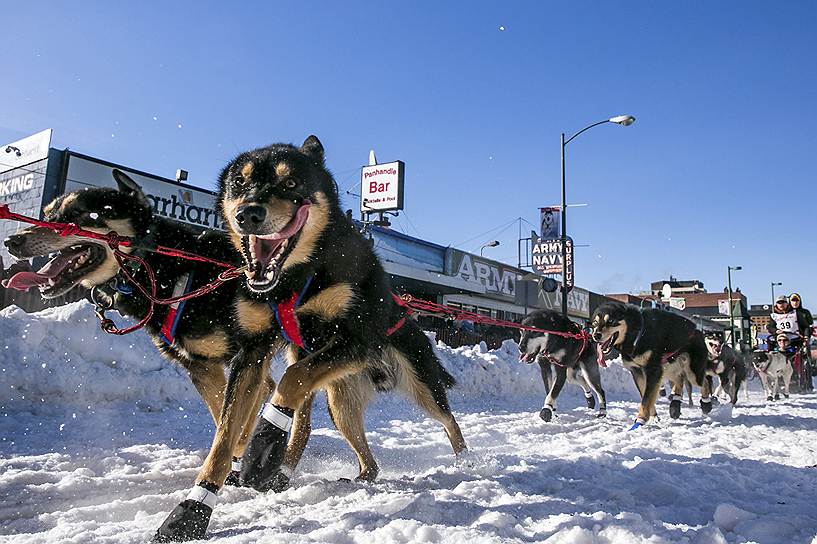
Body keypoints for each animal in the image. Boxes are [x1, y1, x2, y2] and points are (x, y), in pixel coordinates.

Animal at [220, 137, 468, 498]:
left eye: (291, 183)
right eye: (239, 182)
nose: (248, 214)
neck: (299, 276)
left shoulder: (357, 339)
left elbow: (292, 376)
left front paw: (263, 444)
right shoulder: (253, 352)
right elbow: (226, 433)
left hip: (421, 384)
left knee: (449, 420)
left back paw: (468, 462)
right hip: (340, 402)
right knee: (352, 451)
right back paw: (339, 474)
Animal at [588, 300, 712, 428]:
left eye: (611, 321)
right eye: (595, 323)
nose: (596, 335)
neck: (637, 334)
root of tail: (698, 330)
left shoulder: (653, 370)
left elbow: (646, 398)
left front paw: (641, 419)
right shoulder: (637, 371)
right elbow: (645, 395)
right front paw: (653, 416)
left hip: (693, 372)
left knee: (704, 381)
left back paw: (706, 404)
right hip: (669, 368)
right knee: (680, 379)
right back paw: (675, 405)